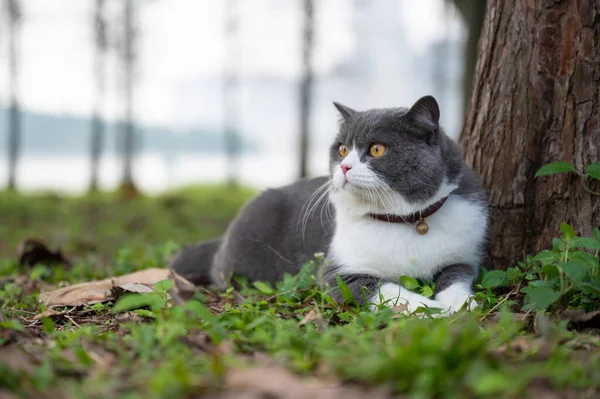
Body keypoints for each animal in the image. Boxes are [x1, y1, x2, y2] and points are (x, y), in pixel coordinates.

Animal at [171, 96, 490, 316]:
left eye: (377, 149)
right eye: (342, 149)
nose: (345, 166)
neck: (406, 220)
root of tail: (222, 241)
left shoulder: (464, 255)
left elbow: (455, 277)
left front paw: (461, 304)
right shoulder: (337, 273)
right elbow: (386, 288)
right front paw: (429, 308)